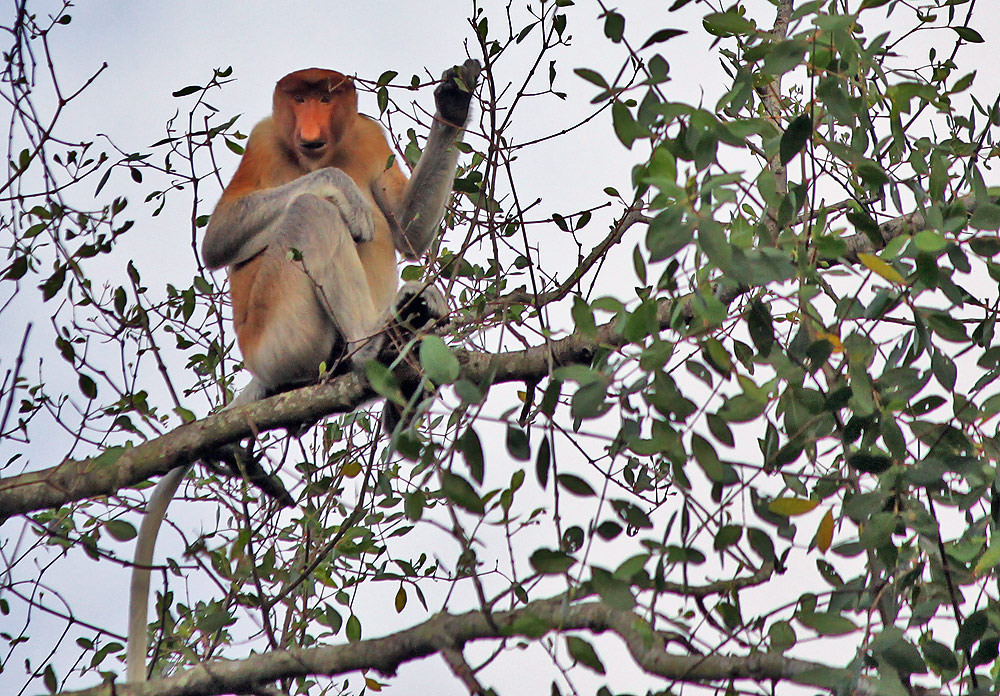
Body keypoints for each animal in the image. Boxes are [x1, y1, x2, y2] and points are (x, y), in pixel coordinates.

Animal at [126, 59, 481, 682]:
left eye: (324, 96)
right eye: (298, 98)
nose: (311, 126)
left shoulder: (366, 135)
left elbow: (409, 231)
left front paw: (455, 100)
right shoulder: (266, 139)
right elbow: (220, 238)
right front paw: (346, 195)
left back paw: (409, 347)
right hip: (281, 334)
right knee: (310, 212)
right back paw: (378, 349)